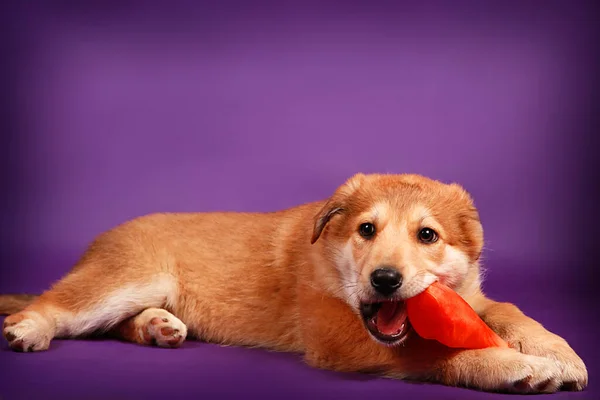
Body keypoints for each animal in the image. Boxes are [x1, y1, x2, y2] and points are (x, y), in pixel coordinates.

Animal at [0, 173, 588, 392]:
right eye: (366, 230)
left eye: (428, 235)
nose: (385, 279)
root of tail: (99, 242)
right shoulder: (338, 340)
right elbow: (436, 352)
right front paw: (513, 364)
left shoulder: (471, 297)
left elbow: (509, 310)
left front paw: (557, 350)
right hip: (126, 280)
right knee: (57, 305)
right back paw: (28, 328)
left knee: (114, 326)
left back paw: (158, 328)